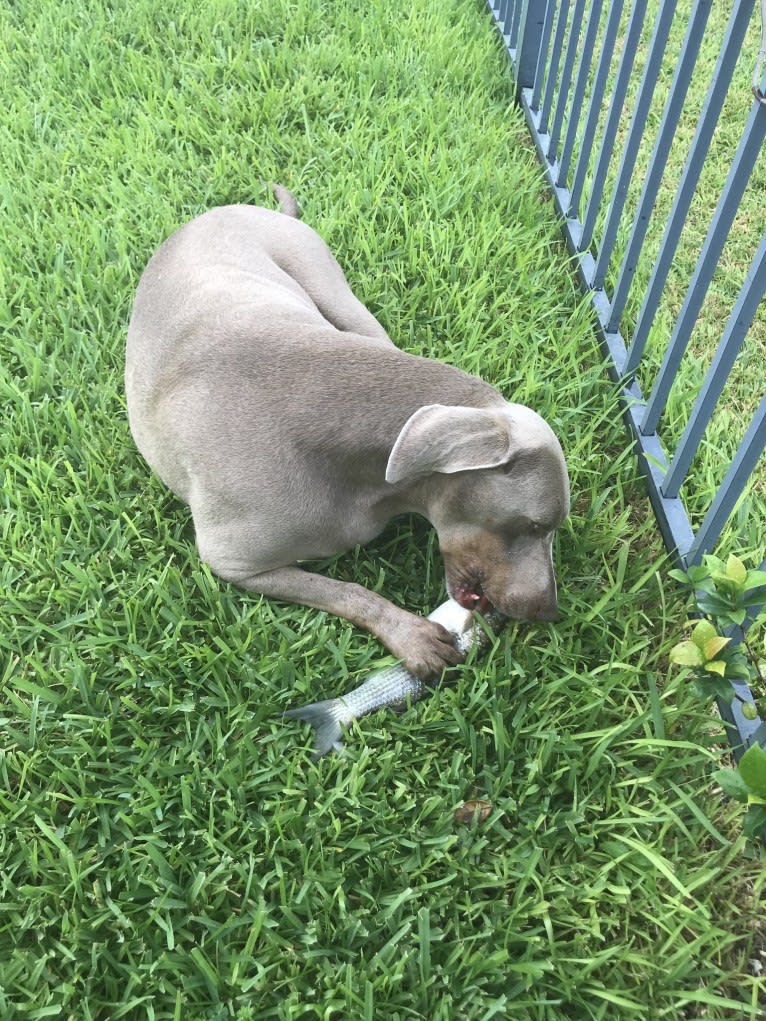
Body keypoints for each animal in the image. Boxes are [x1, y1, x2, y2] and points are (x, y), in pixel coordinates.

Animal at [126, 187, 571, 682]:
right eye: (536, 525)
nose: (550, 613)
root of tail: (235, 209)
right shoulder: (232, 564)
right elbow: (343, 590)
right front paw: (410, 635)